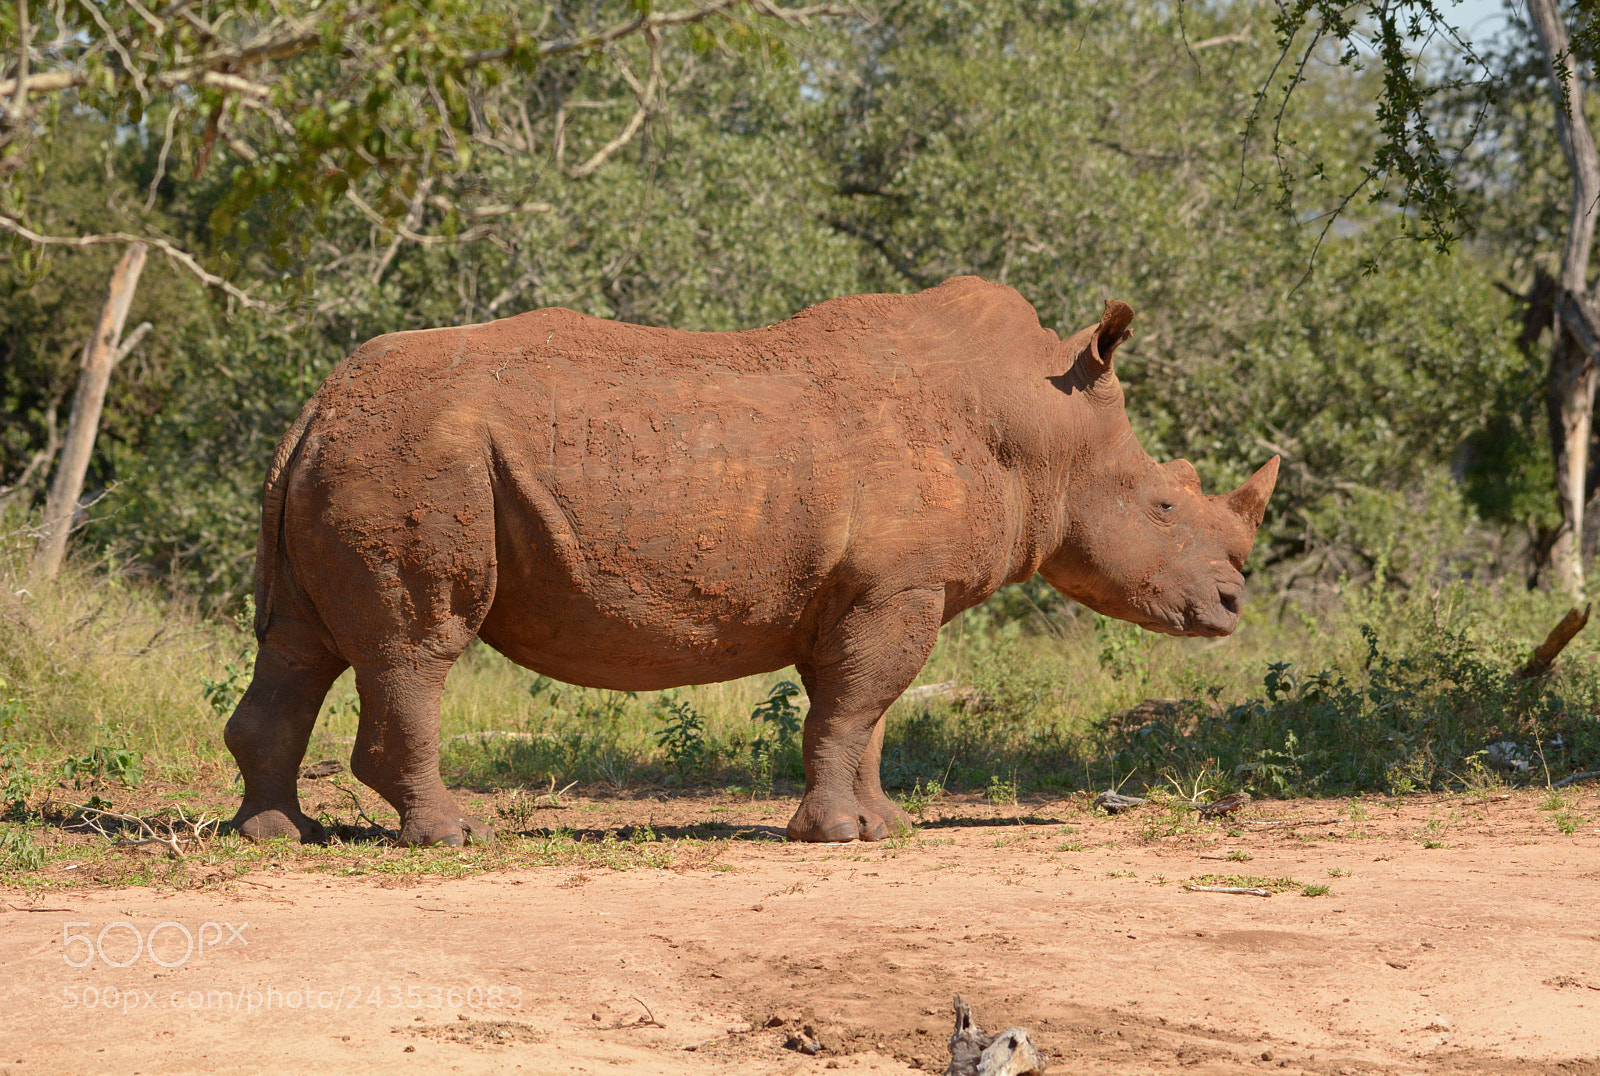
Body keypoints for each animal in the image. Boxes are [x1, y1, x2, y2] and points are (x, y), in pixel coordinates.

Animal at [226, 276, 1277, 846]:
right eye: (1164, 504)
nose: (1232, 605)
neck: (1039, 427)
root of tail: (314, 408)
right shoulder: (897, 584)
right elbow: (855, 707)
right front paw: (839, 838)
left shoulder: (874, 589)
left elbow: (864, 714)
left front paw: (882, 827)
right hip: (417, 455)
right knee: (417, 644)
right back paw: (456, 835)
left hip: (360, 453)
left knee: (301, 647)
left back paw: (282, 834)